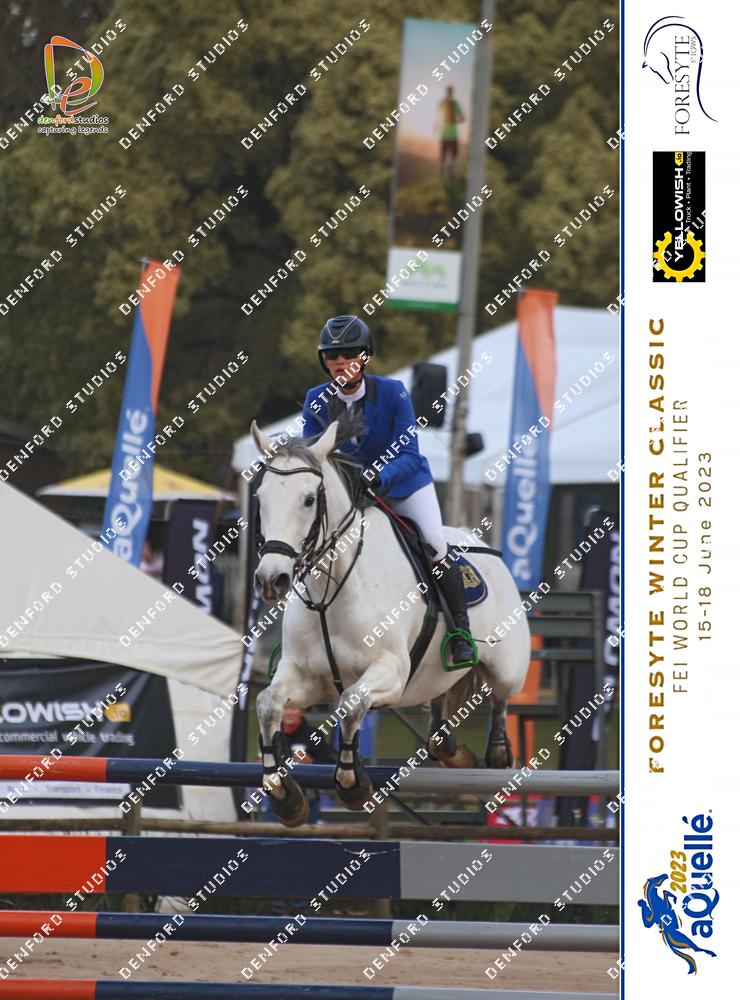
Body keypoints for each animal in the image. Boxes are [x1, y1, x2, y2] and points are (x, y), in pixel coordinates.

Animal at [250, 415, 530, 826]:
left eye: (309, 499)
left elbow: (350, 704)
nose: (273, 579)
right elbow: (268, 703)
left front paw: (352, 784)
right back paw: (453, 751)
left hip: (508, 668)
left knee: (501, 696)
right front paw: (284, 794)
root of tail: (483, 547)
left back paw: (495, 752)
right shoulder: (306, 675)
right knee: (439, 708)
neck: (332, 592)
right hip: (434, 674)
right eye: (261, 498)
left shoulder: (392, 672)